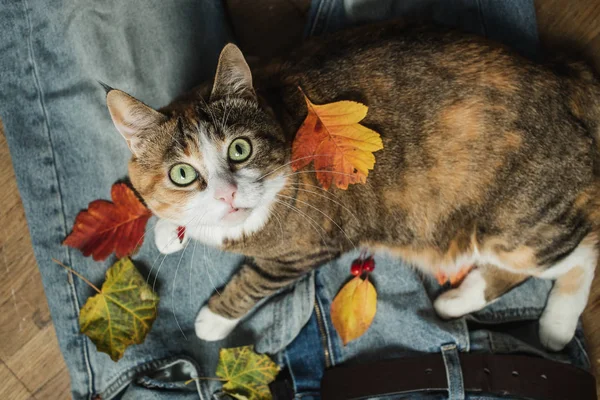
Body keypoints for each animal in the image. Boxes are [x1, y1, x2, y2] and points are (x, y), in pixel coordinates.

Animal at [105, 23, 600, 352]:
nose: (226, 195)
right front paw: (168, 229)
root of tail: (566, 79)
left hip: (517, 226)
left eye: (240, 149)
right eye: (182, 174)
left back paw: (554, 326)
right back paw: (458, 301)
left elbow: (254, 280)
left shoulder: (308, 246)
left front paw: (214, 317)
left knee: (583, 251)